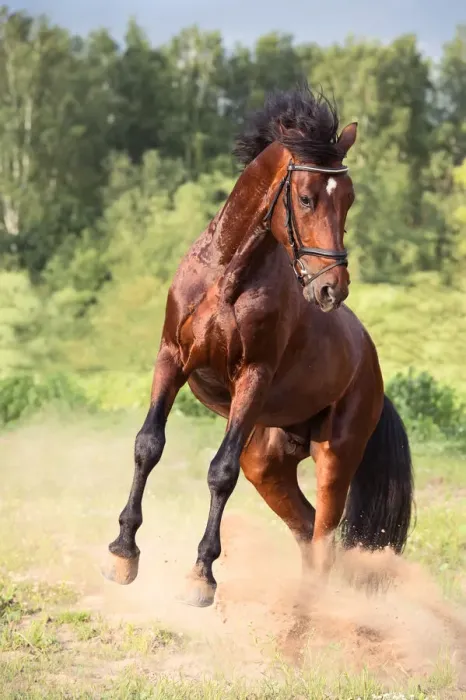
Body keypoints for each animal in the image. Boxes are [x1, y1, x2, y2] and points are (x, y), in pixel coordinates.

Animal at [103, 86, 414, 607]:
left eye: (349, 200)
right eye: (306, 198)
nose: (332, 289)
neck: (228, 276)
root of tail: (372, 370)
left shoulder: (253, 375)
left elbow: (220, 472)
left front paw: (201, 576)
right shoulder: (171, 358)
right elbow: (148, 445)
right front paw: (123, 553)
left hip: (336, 456)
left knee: (324, 535)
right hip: (268, 461)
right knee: (306, 527)